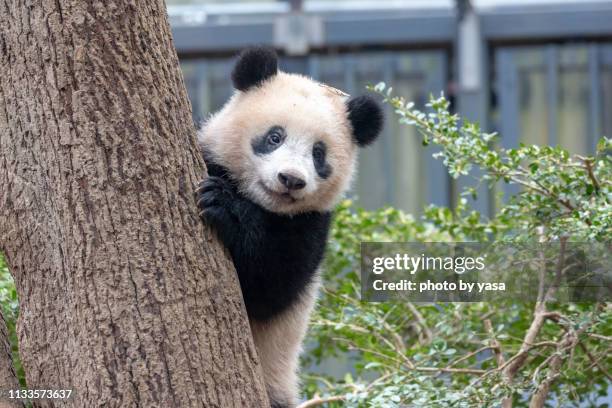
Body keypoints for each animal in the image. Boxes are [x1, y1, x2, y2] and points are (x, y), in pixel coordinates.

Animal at [196, 46, 380, 406]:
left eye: (318, 153)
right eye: (274, 136)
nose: (291, 179)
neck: (261, 203)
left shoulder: (311, 225)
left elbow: (269, 286)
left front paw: (225, 208)